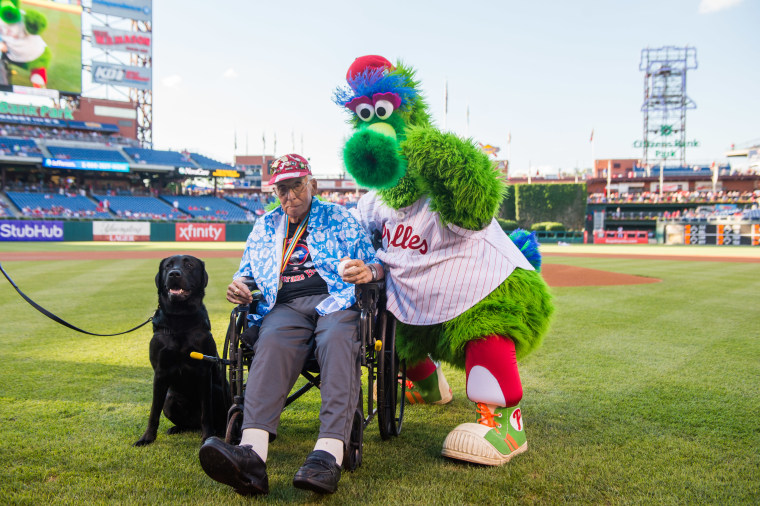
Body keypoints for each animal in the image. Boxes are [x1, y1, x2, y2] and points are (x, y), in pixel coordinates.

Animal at [134, 255, 230, 444]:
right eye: (167, 266)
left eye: (189, 265)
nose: (174, 274)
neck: (180, 319)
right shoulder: (160, 372)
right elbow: (154, 411)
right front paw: (147, 438)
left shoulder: (204, 372)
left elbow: (206, 413)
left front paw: (208, 437)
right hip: (170, 399)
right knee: (186, 423)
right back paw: (176, 428)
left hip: (218, 391)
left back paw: (221, 431)